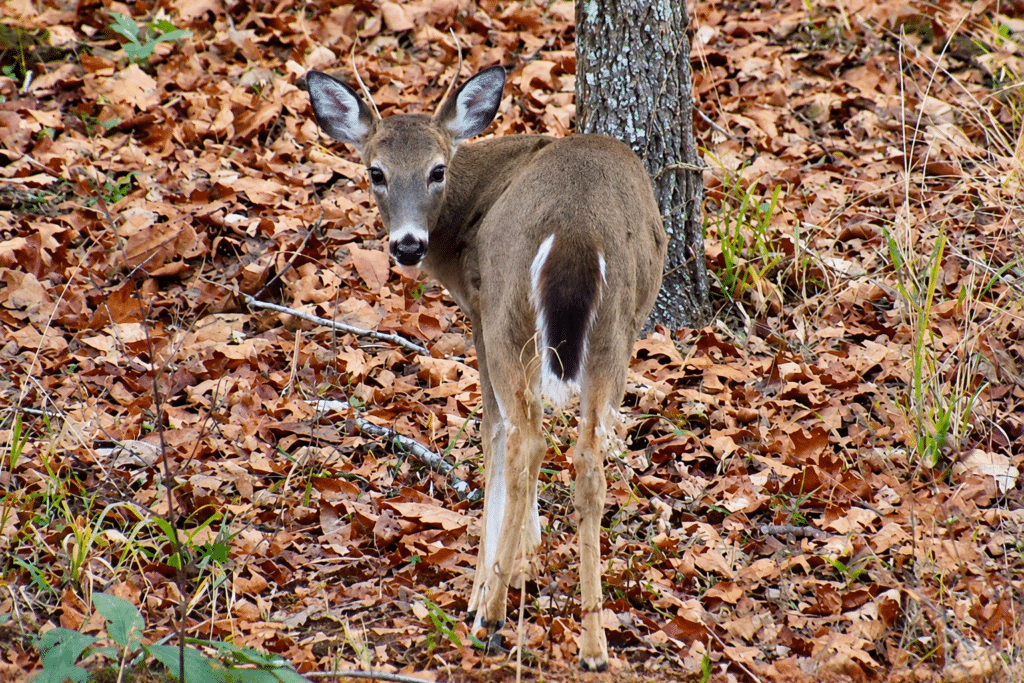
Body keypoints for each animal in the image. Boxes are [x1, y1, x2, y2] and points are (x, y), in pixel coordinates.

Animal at [305, 63, 667, 671]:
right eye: (376, 171)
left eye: (437, 170)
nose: (407, 245)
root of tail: (575, 236)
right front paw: (529, 558)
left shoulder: (478, 309)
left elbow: (490, 433)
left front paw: (492, 580)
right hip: (614, 332)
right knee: (587, 457)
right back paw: (594, 646)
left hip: (509, 315)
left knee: (524, 440)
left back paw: (490, 617)